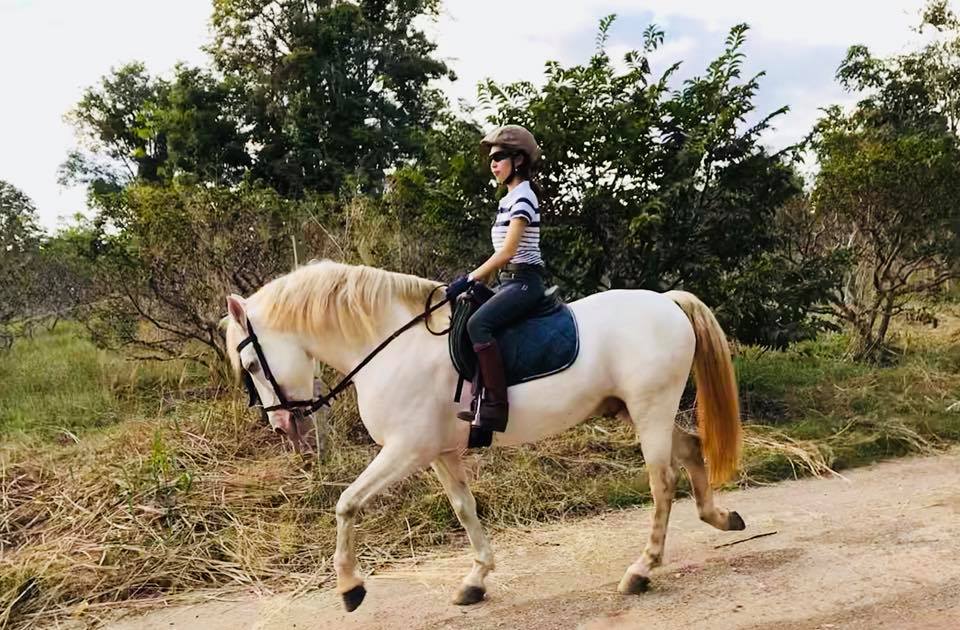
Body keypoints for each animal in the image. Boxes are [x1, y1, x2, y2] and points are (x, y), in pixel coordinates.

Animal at [223, 259, 744, 612]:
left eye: (251, 363)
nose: (282, 425)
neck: (392, 346)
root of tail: (667, 301)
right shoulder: (439, 452)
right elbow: (464, 508)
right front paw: (475, 581)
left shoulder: (406, 450)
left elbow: (347, 504)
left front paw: (350, 588)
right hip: (639, 411)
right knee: (691, 449)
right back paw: (721, 517)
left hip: (650, 408)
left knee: (662, 483)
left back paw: (640, 570)